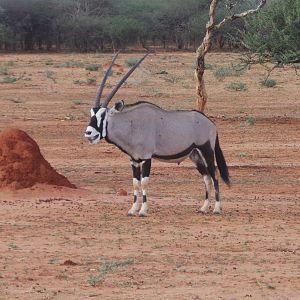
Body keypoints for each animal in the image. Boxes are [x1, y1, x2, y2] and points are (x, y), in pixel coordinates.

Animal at [84, 51, 230, 216]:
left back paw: (217, 208)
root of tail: (211, 123)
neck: (132, 124)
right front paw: (132, 209)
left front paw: (143, 210)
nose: (89, 133)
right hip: (195, 155)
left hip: (207, 151)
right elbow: (135, 183)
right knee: (206, 178)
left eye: (103, 115)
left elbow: (144, 182)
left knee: (214, 175)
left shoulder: (146, 158)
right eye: (92, 113)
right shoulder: (134, 160)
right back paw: (204, 208)